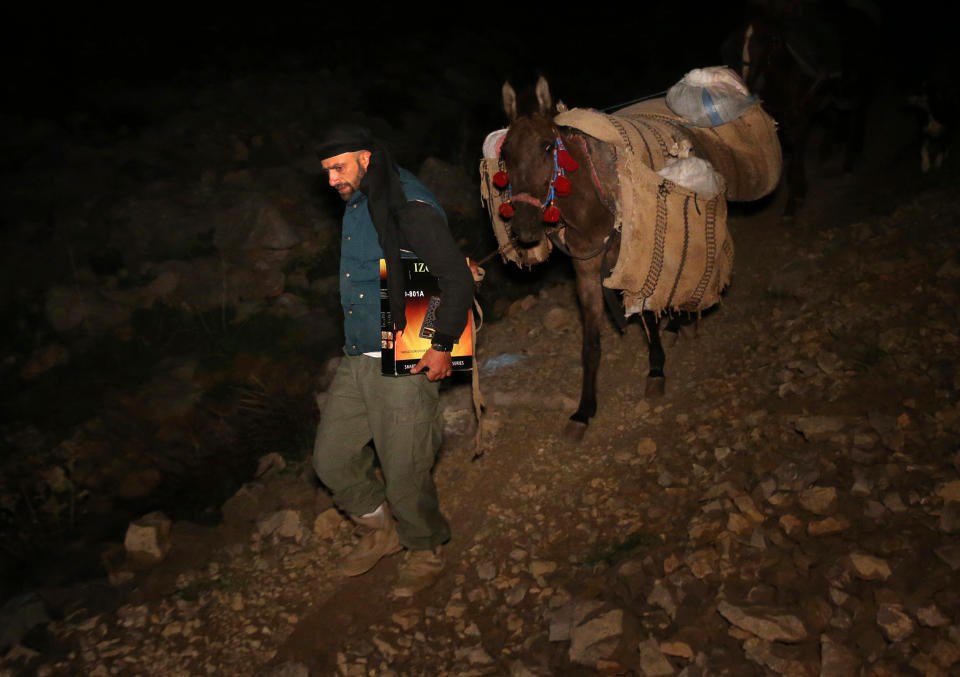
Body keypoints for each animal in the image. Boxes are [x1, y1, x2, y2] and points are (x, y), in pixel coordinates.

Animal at [496, 76, 668, 440]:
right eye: (504, 153)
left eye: (549, 146)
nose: (524, 226)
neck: (593, 209)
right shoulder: (587, 273)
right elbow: (590, 344)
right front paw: (584, 410)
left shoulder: (635, 257)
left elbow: (646, 312)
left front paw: (656, 369)